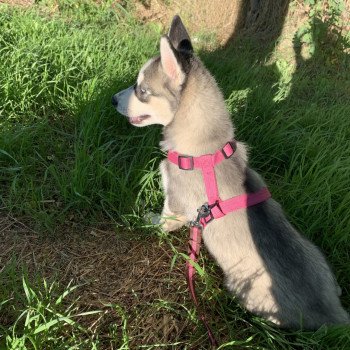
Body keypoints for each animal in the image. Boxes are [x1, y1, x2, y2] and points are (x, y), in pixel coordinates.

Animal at [111, 15, 348, 330]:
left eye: (142, 90)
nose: (113, 100)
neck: (205, 150)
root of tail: (333, 315)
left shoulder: (175, 204)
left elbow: (161, 223)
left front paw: (146, 221)